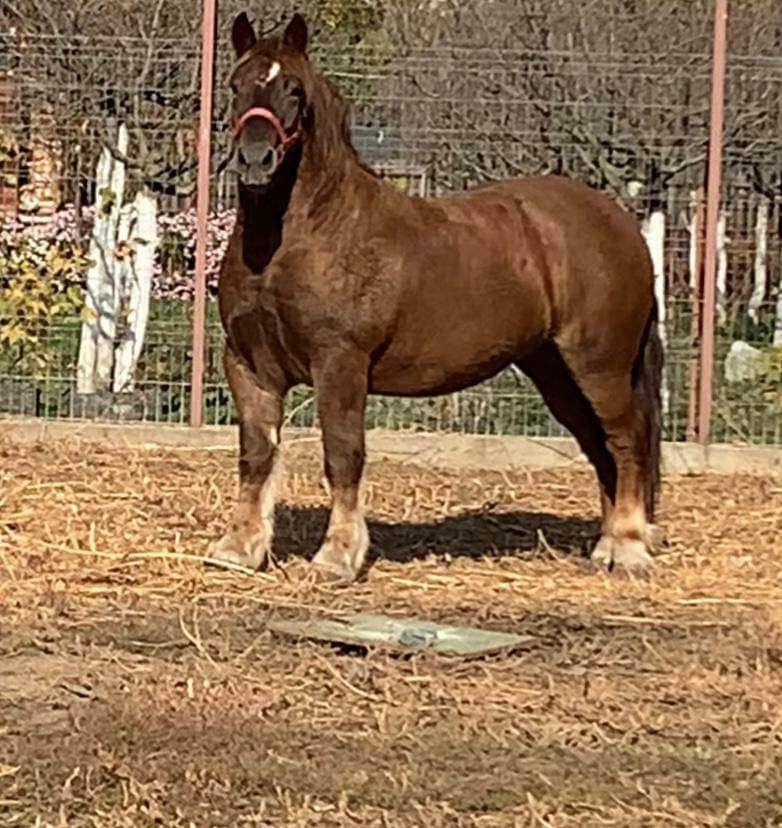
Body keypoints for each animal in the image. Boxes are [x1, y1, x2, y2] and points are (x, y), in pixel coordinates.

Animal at [205, 14, 664, 584]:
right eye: (235, 86)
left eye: (293, 89)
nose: (255, 158)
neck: (298, 240)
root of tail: (620, 222)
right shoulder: (250, 364)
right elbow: (256, 453)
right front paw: (239, 547)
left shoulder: (340, 363)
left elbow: (342, 453)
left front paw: (337, 556)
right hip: (556, 372)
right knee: (599, 446)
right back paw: (605, 547)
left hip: (599, 367)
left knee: (625, 440)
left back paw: (629, 549)